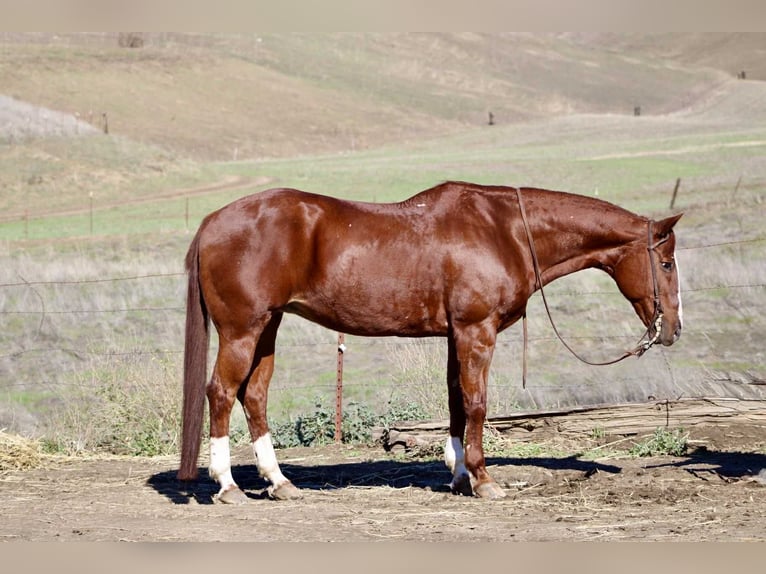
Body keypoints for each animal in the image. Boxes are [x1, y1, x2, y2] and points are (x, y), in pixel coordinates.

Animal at [177, 181, 683, 503]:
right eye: (667, 263)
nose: (674, 329)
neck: (506, 231)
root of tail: (212, 222)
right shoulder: (476, 331)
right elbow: (477, 403)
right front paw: (483, 479)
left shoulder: (456, 335)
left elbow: (457, 400)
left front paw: (458, 475)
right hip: (242, 330)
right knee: (221, 393)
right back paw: (227, 486)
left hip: (268, 327)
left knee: (254, 396)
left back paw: (279, 483)